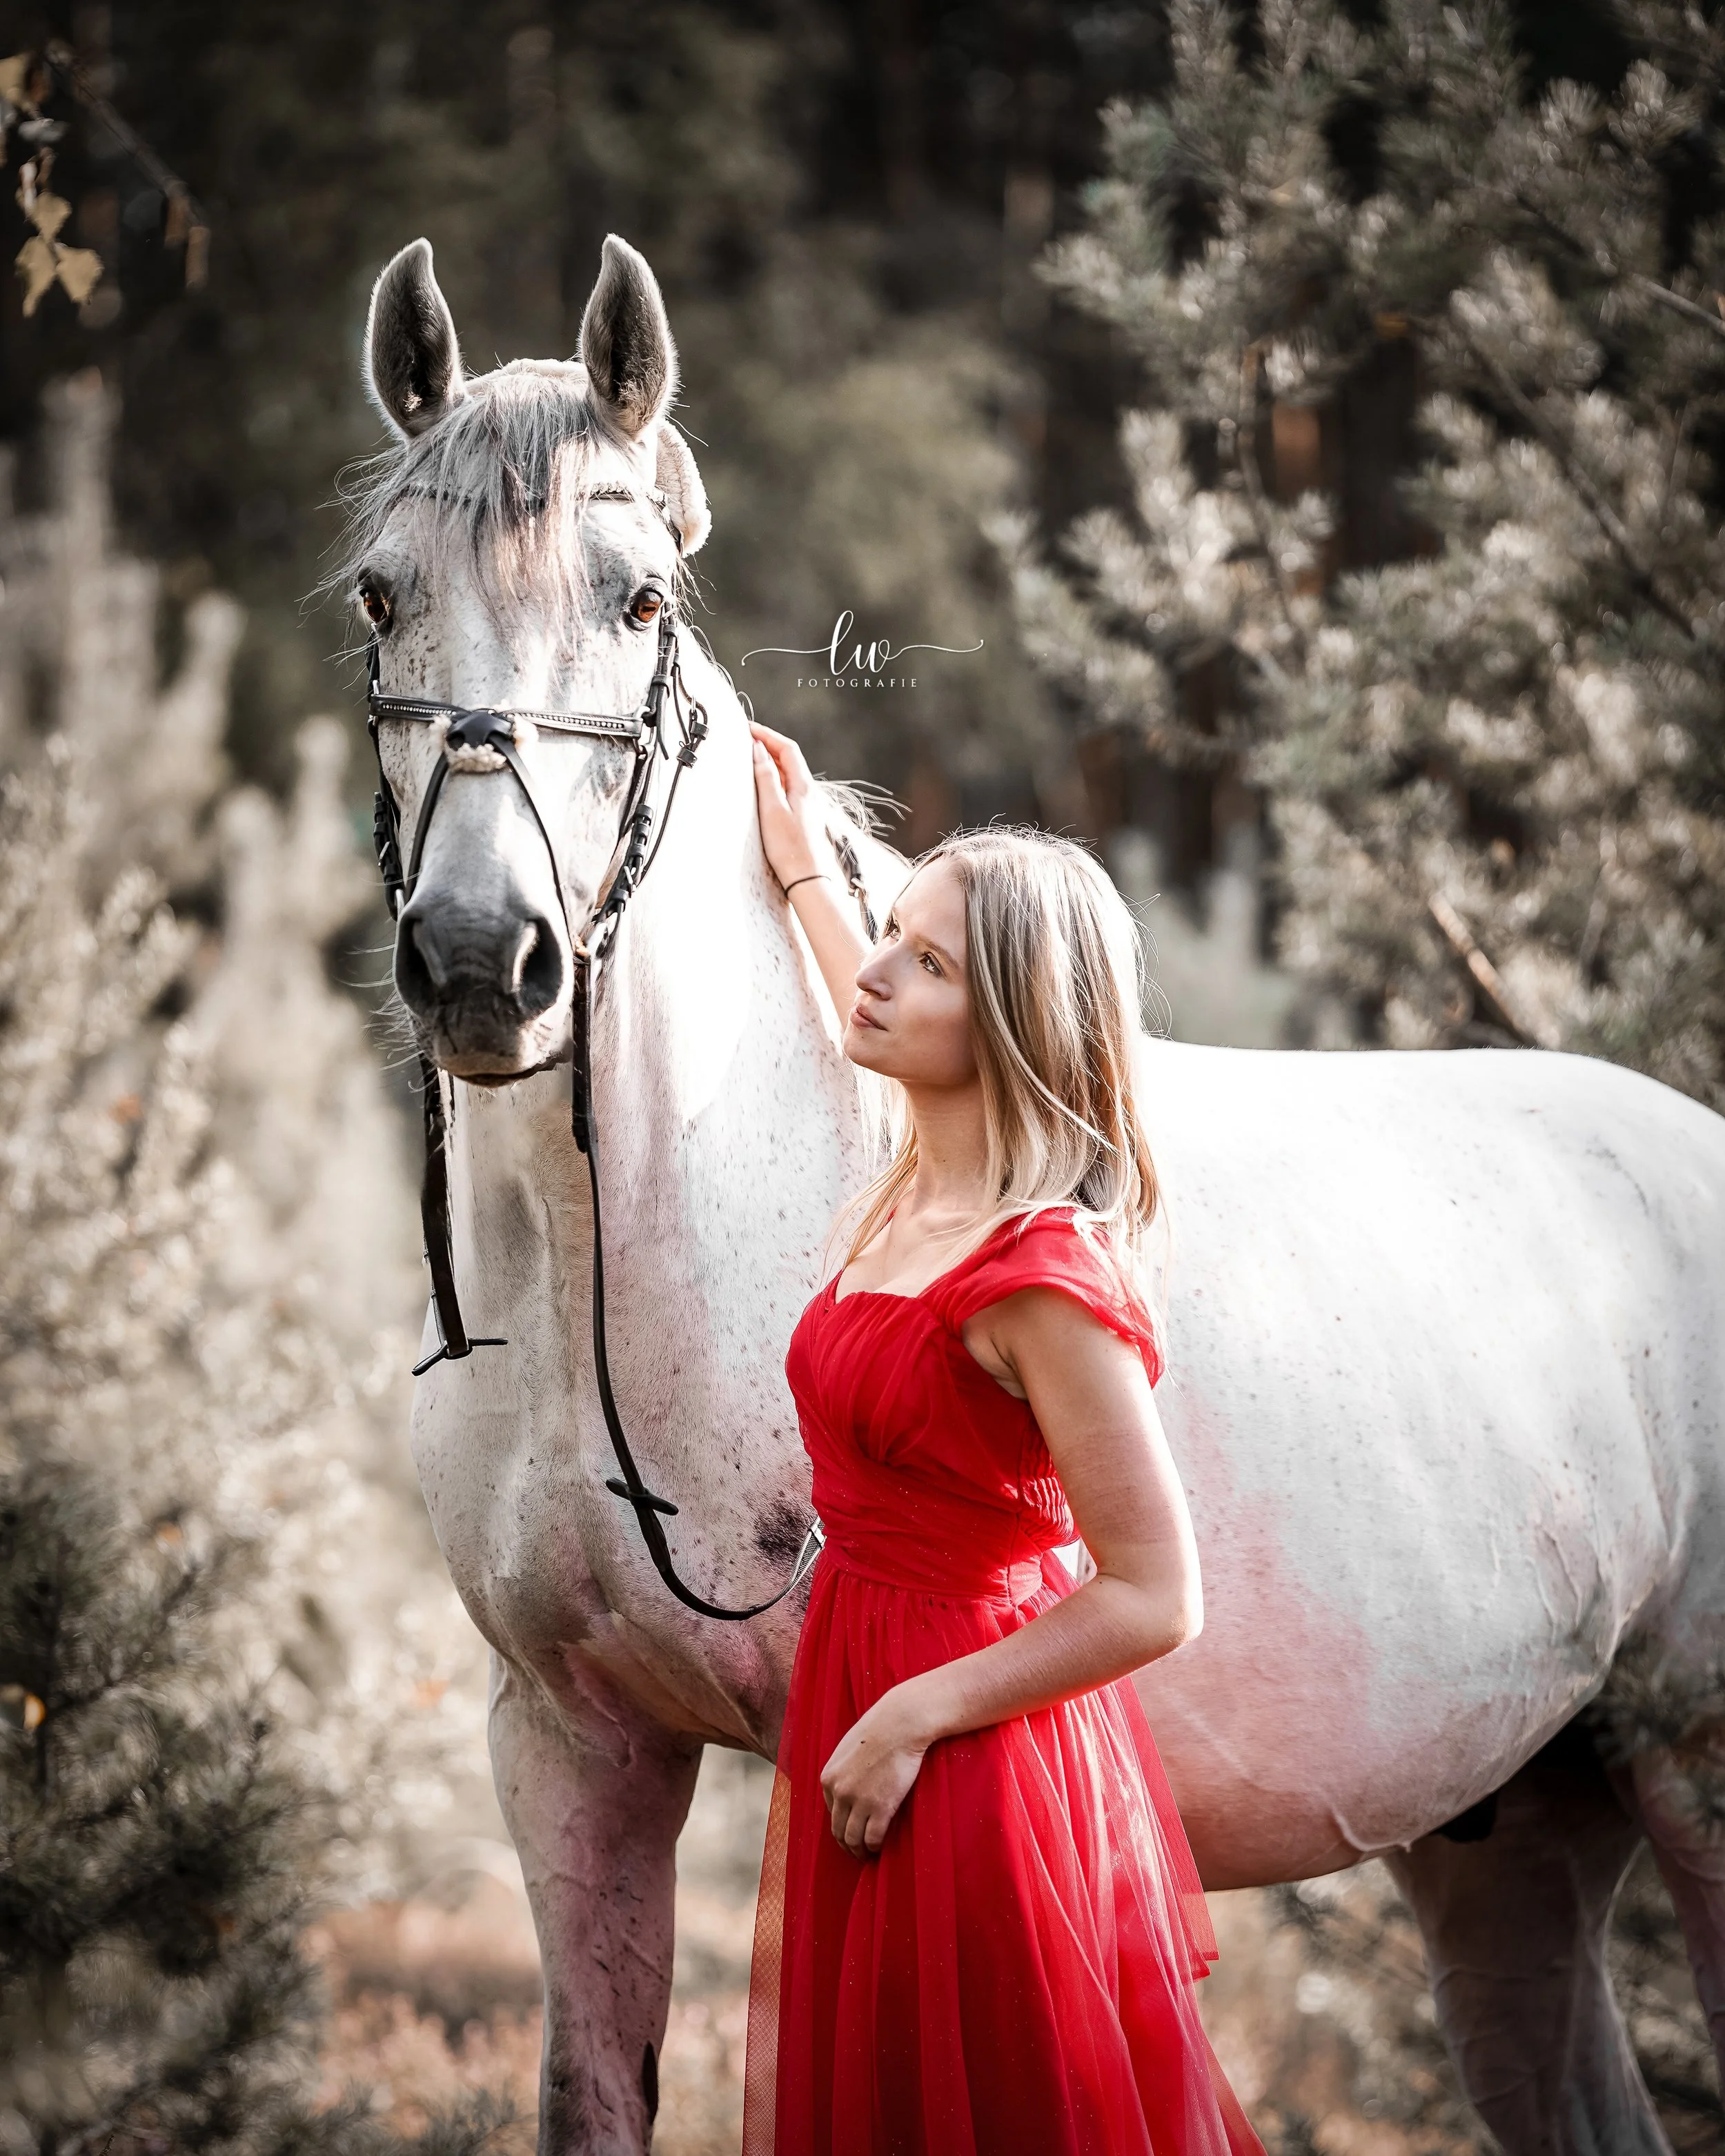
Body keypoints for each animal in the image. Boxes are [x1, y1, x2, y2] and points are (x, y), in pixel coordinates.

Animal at [348, 231, 1725, 2154]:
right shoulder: (568, 1744)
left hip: (1692, 1768)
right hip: (1508, 1829)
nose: (487, 962)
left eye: (635, 603)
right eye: (381, 597)